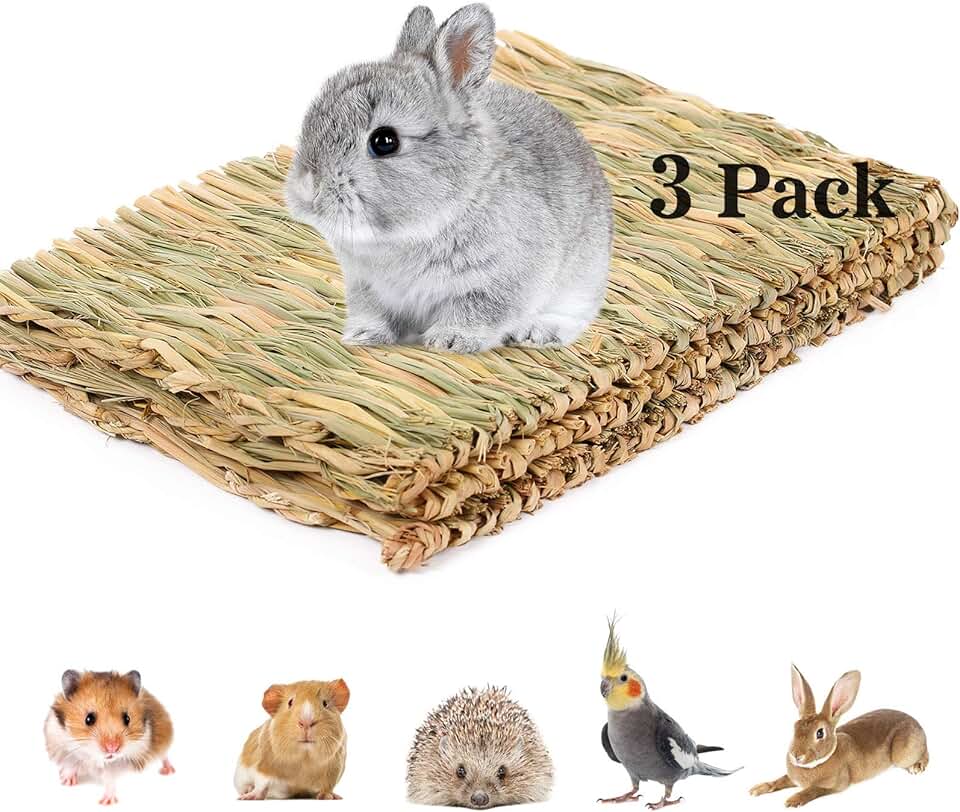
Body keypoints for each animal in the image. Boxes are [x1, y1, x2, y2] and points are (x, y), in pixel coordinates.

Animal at [285, 4, 612, 353]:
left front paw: (450, 341)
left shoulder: (498, 284)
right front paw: (362, 337)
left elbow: (477, 311)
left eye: (385, 141)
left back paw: (537, 333)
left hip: (580, 284)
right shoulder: (367, 288)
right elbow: (374, 314)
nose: (307, 188)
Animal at [749, 666, 928, 807]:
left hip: (903, 755)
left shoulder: (834, 785)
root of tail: (917, 724)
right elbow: (780, 780)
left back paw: (917, 767)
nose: (796, 756)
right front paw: (757, 789)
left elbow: (813, 790)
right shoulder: (791, 778)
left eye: (820, 733)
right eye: (794, 728)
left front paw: (793, 800)